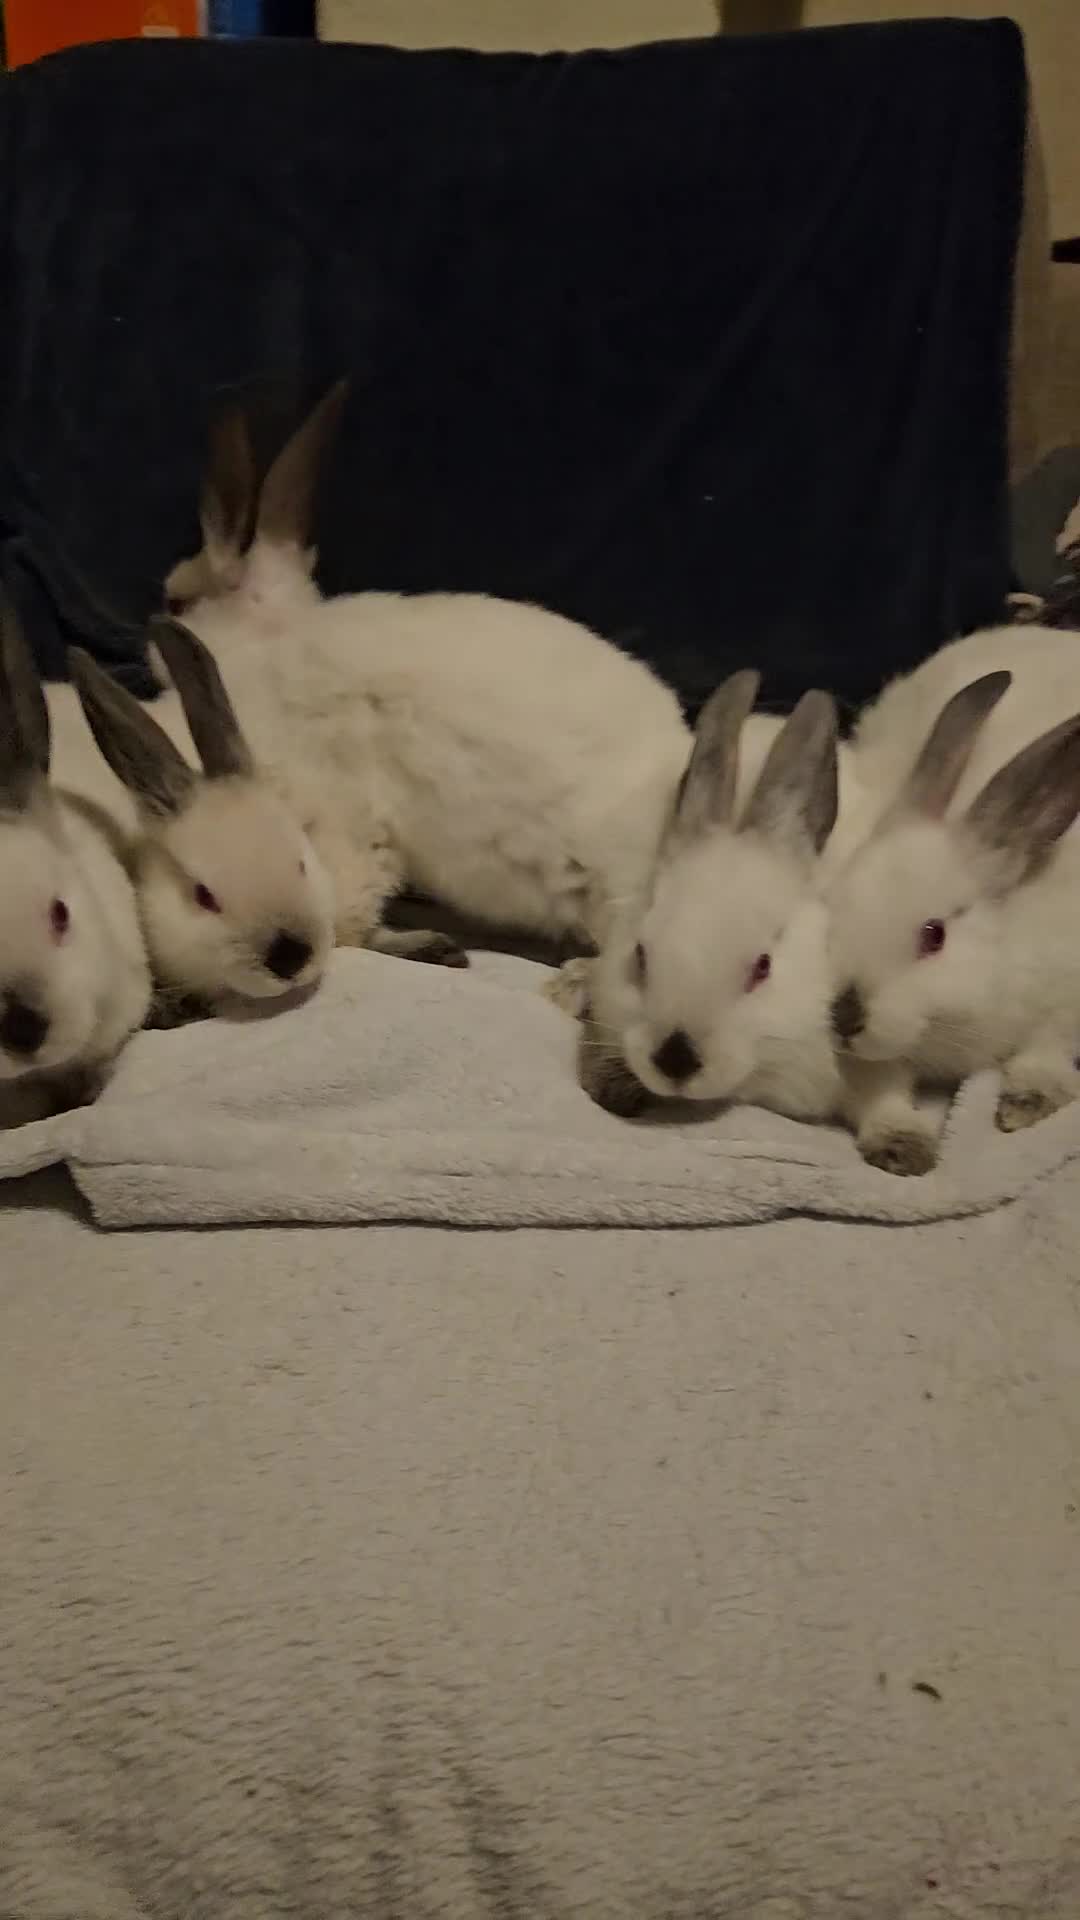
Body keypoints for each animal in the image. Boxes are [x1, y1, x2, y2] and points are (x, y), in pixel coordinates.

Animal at [156, 384, 694, 966]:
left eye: (176, 601)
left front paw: (420, 945)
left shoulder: (341, 821)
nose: (148, 640)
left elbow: (348, 922)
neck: (266, 642)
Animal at [825, 622, 1080, 1175]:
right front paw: (902, 1145)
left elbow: (1046, 1051)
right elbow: (879, 1089)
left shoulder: (1064, 1000)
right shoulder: (869, 1063)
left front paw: (1024, 1105)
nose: (845, 1018)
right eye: (836, 907)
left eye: (934, 935)